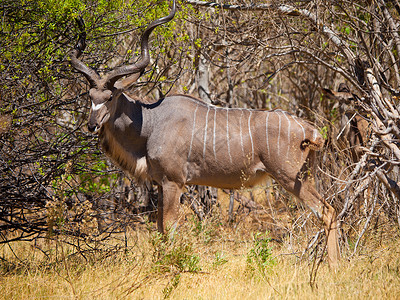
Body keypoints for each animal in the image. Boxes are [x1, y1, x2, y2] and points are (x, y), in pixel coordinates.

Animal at [70, 0, 340, 268]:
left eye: (110, 96)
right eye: (90, 95)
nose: (92, 125)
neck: (150, 123)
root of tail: (310, 129)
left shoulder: (174, 182)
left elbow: (169, 226)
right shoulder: (160, 184)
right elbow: (159, 228)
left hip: (289, 177)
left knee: (326, 210)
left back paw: (334, 267)